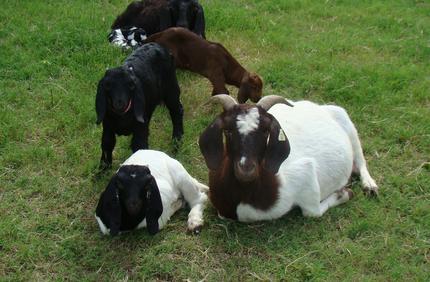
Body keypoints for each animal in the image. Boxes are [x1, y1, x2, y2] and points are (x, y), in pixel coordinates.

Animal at [198, 93, 376, 221]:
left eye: (266, 131)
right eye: (228, 131)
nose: (246, 169)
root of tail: (315, 106)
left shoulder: (305, 173)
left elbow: (312, 212)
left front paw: (344, 193)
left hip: (343, 118)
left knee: (360, 158)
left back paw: (370, 185)